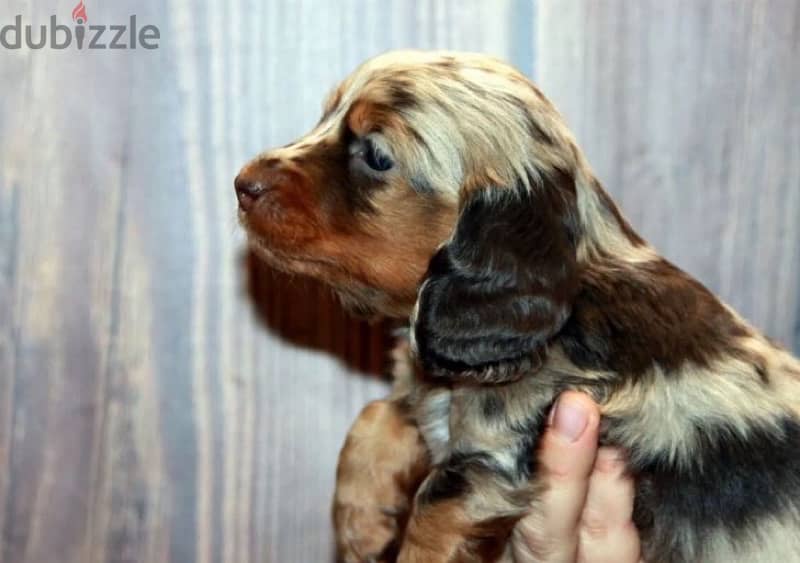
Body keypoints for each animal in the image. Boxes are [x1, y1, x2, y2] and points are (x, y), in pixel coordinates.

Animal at [236, 50, 800, 560]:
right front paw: (361, 520)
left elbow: (427, 521)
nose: (242, 183)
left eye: (375, 155)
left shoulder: (489, 465)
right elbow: (380, 411)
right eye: (325, 119)